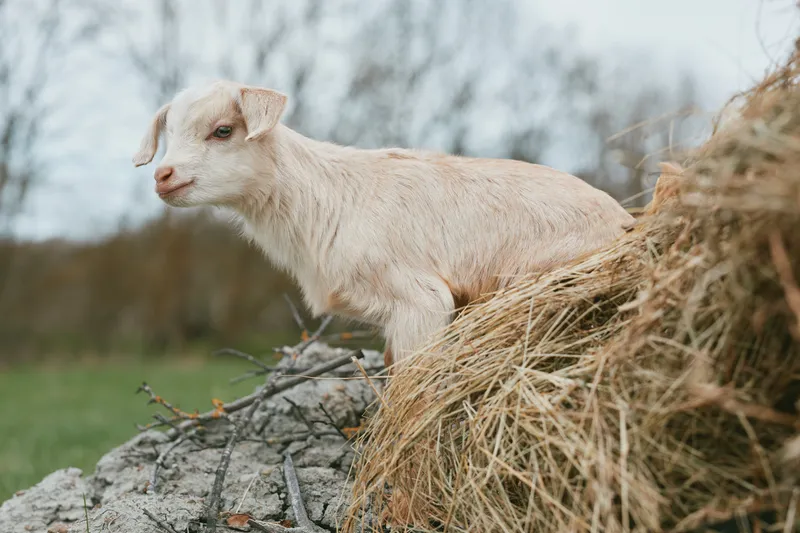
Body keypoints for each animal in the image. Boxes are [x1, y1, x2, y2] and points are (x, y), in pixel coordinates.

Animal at [132, 80, 635, 370]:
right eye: (168, 134)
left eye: (223, 131)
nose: (163, 176)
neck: (323, 200)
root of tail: (627, 222)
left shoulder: (420, 302)